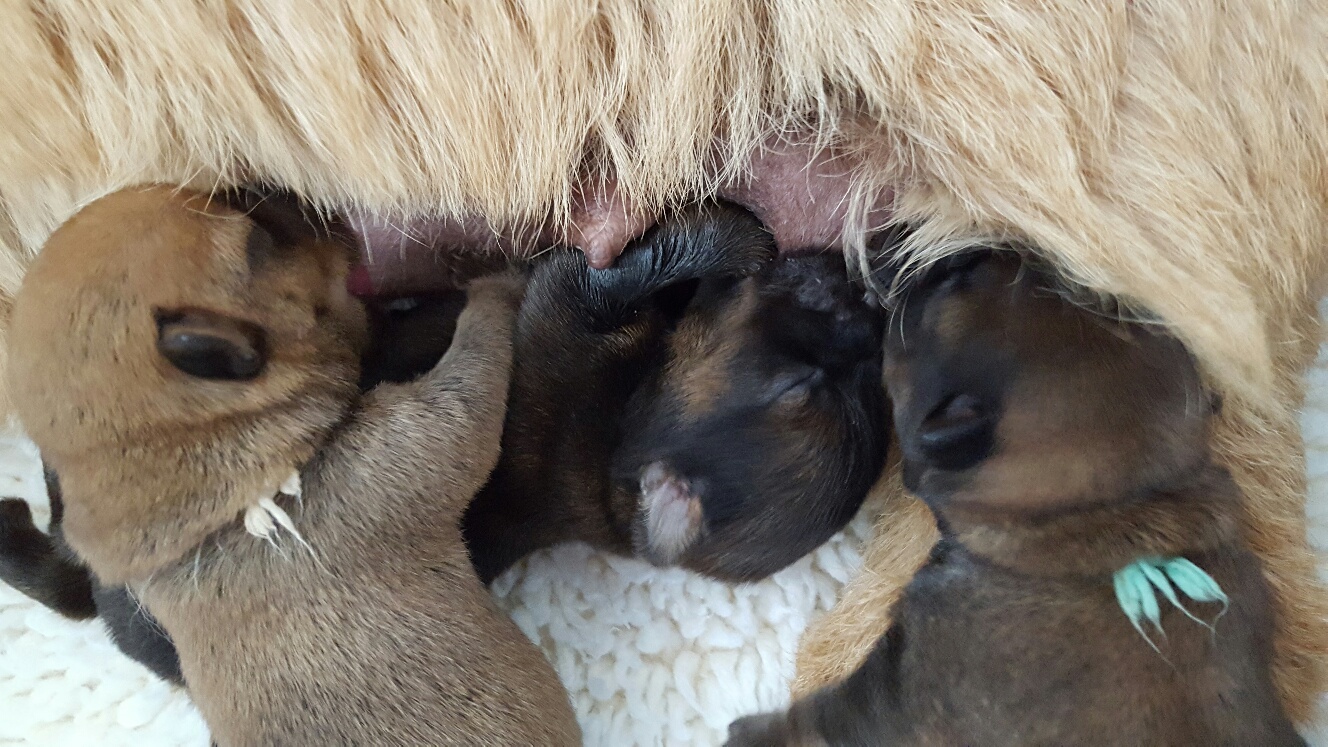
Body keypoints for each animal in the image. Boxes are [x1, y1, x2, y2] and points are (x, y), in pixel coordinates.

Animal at [725, 250, 1303, 746]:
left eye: (950, 285)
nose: (955, 251)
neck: (1108, 514)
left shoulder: (892, 690)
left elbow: (815, 717)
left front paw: (748, 732)